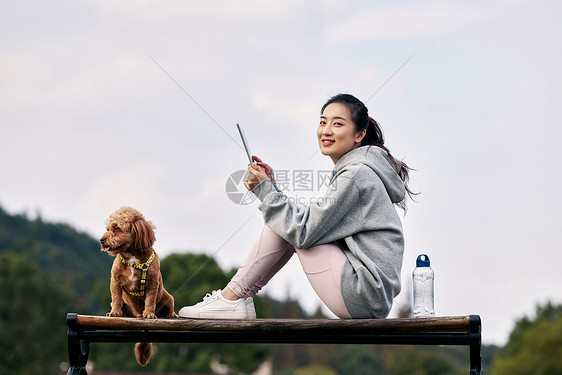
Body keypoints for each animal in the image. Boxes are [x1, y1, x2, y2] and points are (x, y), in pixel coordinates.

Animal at [99, 207, 175, 366]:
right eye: (107, 228)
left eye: (116, 228)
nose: (101, 240)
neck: (132, 258)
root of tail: (137, 314)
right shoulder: (115, 281)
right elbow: (116, 298)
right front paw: (115, 312)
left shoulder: (152, 283)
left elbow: (150, 300)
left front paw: (149, 314)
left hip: (169, 298)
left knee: (169, 307)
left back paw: (171, 314)